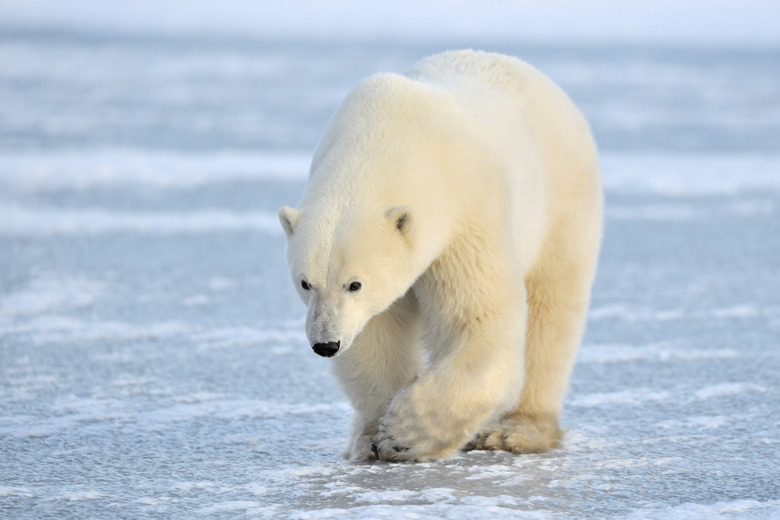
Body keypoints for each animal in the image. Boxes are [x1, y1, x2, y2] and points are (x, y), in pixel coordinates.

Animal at [280, 49, 604, 464]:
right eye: (305, 283)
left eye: (355, 284)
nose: (325, 344)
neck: (390, 137)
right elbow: (374, 335)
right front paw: (374, 436)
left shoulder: (467, 216)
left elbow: (477, 321)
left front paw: (404, 433)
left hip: (561, 202)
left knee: (551, 311)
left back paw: (514, 430)